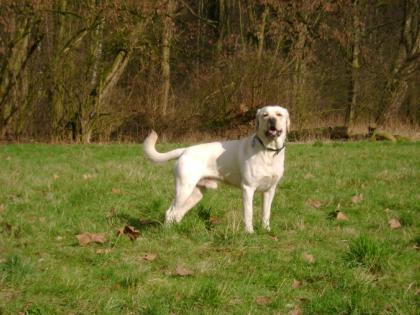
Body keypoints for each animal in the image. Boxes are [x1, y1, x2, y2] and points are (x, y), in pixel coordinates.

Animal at [144, 105, 288, 232]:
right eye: (265, 115)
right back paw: (168, 234)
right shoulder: (248, 188)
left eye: (279, 114)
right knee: (170, 212)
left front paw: (266, 230)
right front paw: (249, 232)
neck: (268, 150)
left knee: (178, 213)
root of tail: (184, 150)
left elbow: (266, 213)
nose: (271, 120)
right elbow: (249, 213)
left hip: (195, 194)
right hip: (184, 189)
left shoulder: (270, 190)